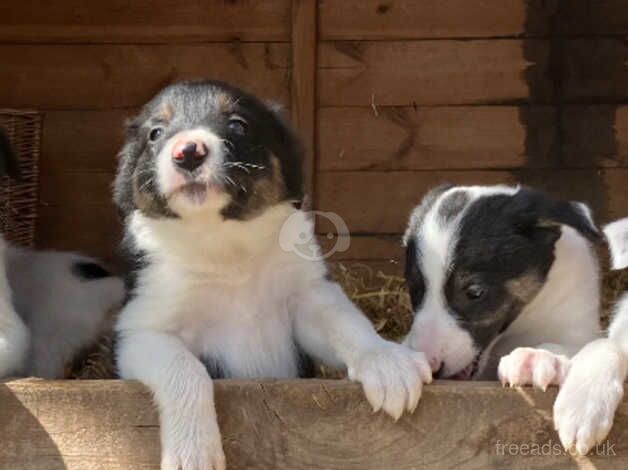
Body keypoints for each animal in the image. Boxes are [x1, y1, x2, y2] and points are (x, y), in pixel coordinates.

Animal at [114, 81, 432, 470]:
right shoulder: (142, 330)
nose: (187, 152)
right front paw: (193, 451)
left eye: (237, 125)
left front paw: (387, 362)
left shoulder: (307, 298)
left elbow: (346, 322)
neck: (221, 244)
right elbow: (185, 370)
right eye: (156, 133)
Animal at [400, 184, 600, 382]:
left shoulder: (580, 330)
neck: (524, 320)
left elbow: (570, 346)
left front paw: (536, 356)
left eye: (475, 292)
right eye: (414, 289)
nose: (432, 366)